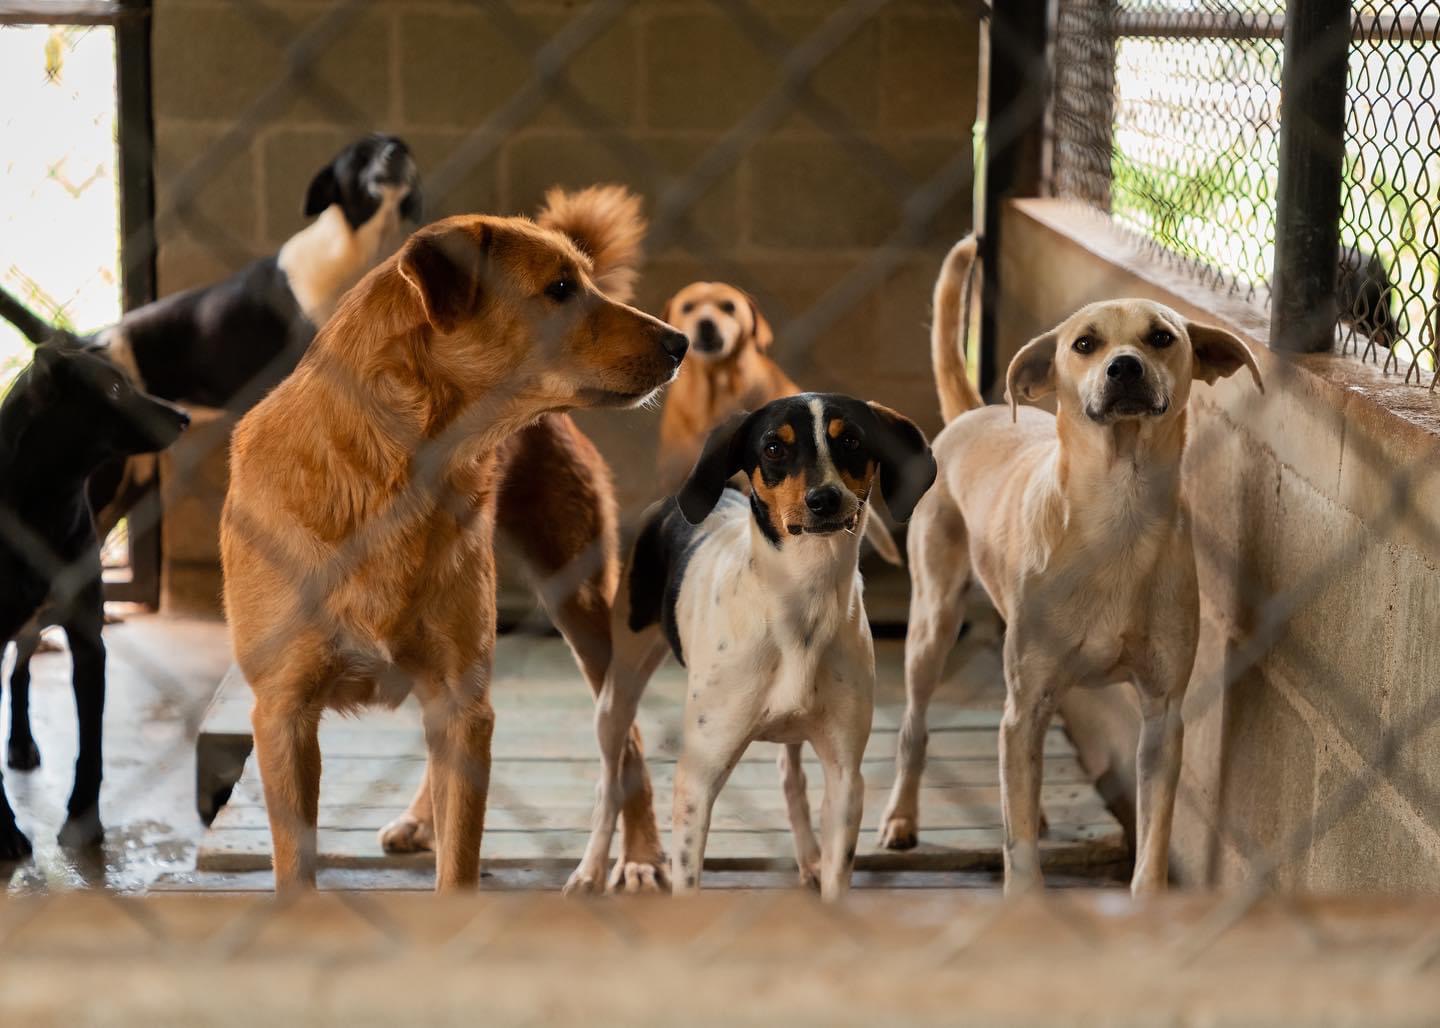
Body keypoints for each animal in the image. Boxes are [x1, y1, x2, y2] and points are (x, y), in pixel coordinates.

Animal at [0, 344, 190, 858]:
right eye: (116, 389)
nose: (184, 417)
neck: (48, 507)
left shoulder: (88, 641)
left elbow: (92, 745)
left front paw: (83, 819)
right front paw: (4, 831)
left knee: (20, 675)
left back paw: (21, 746)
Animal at [221, 184, 688, 886]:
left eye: (582, 281)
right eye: (559, 288)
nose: (682, 342)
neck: (394, 475)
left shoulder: (465, 705)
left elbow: (460, 868)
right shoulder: (283, 714)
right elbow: (296, 867)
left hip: (576, 602)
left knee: (625, 738)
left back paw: (639, 853)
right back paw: (423, 818)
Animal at [567, 391, 938, 898]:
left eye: (852, 441)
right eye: (774, 448)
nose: (825, 499)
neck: (804, 601)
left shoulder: (845, 778)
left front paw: (822, 869)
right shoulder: (698, 780)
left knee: (791, 777)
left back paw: (809, 857)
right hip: (615, 699)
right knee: (608, 782)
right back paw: (589, 870)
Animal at [881, 236, 1267, 892]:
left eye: (1161, 337)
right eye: (1084, 344)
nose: (1124, 367)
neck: (1119, 513)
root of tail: (973, 413)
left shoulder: (1163, 717)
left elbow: (1153, 842)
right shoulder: (1027, 698)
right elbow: (1019, 853)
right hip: (933, 626)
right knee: (916, 727)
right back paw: (902, 818)